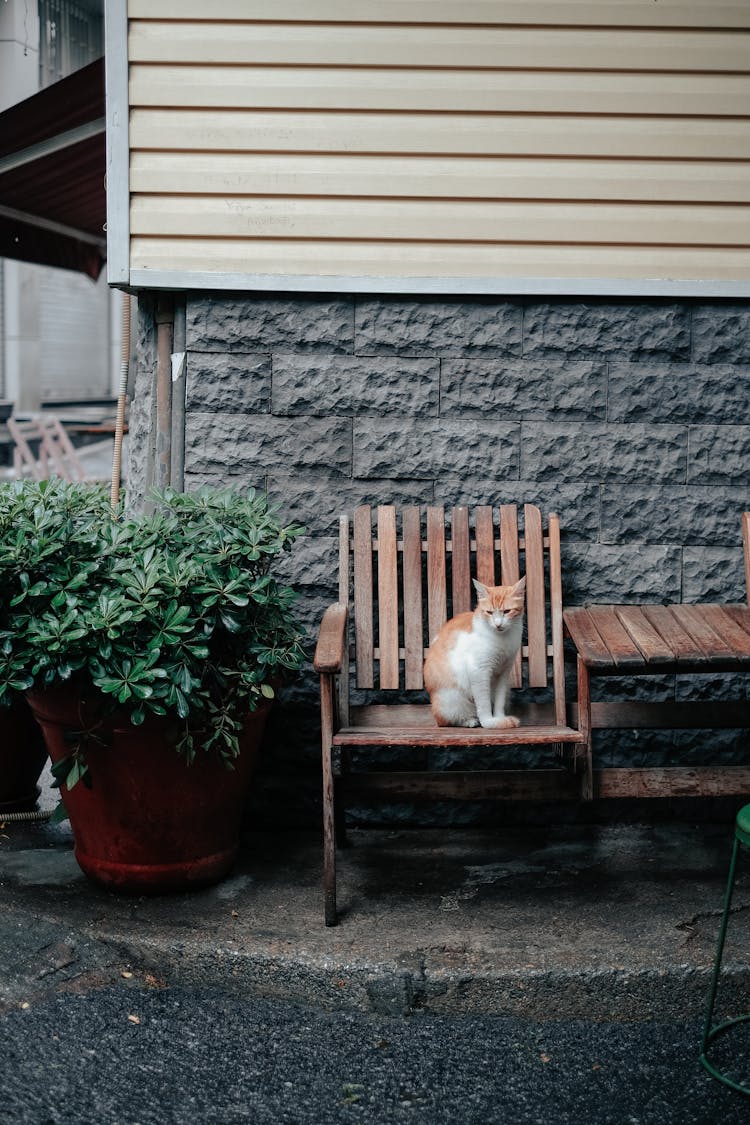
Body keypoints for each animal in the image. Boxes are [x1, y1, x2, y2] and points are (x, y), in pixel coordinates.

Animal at [425, 580, 526, 729]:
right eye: (489, 612)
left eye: (507, 611)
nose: (498, 624)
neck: (502, 639)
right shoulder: (478, 671)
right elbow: (483, 702)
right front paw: (489, 722)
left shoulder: (504, 672)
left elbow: (499, 700)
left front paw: (499, 717)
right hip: (453, 698)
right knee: (448, 719)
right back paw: (469, 721)